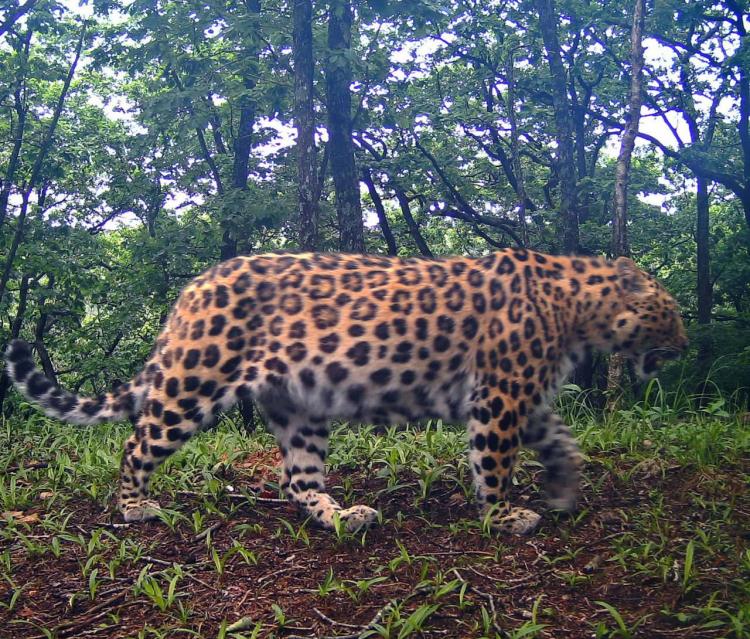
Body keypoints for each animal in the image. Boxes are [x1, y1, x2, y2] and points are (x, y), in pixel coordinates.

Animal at [4, 250, 688, 536]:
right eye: (673, 313)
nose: (685, 345)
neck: (579, 308)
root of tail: (194, 287)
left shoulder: (524, 395)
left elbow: (562, 443)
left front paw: (565, 491)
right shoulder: (499, 396)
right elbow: (495, 462)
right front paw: (502, 516)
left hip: (298, 405)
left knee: (298, 479)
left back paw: (343, 517)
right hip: (197, 378)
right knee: (137, 439)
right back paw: (134, 507)